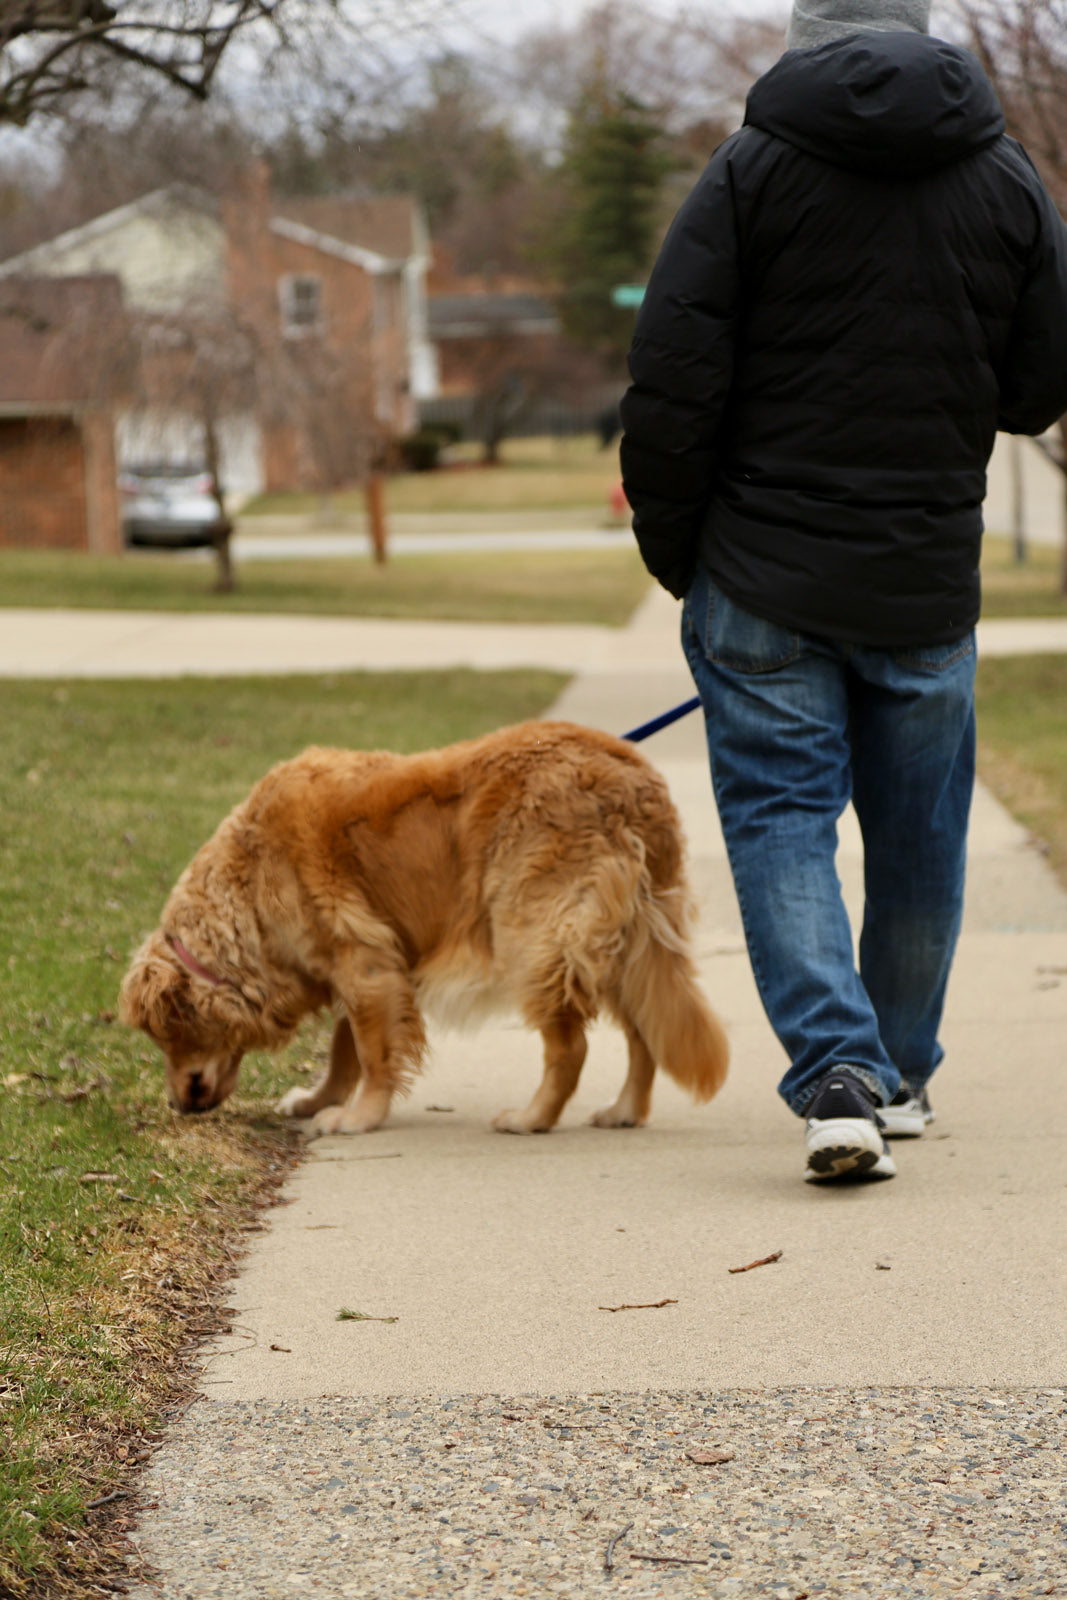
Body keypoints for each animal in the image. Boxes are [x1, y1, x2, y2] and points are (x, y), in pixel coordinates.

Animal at [120, 720, 729, 1132]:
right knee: (643, 1034)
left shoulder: (364, 965)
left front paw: (358, 1118)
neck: (249, 882)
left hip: (533, 937)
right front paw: (320, 1100)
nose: (177, 1104)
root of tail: (637, 781)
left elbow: (371, 1053)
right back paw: (625, 1109)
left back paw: (531, 1117)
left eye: (168, 1035)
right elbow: (344, 1049)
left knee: (569, 1047)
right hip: (625, 945)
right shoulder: (369, 967)